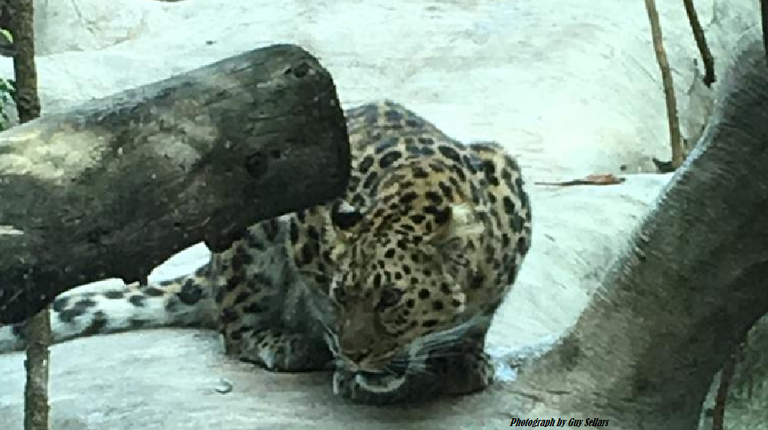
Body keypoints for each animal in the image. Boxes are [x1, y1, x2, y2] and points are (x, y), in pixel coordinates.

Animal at [0, 99, 528, 404]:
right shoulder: (307, 220)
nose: (356, 356)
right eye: (341, 295)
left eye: (392, 300)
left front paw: (465, 359)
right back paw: (286, 343)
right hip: (252, 211)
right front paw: (347, 371)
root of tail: (208, 271)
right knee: (233, 327)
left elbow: (479, 321)